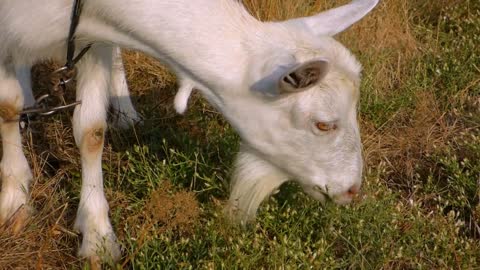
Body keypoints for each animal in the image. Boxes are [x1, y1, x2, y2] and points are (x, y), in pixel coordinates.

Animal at [0, 0, 378, 262]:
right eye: (324, 123)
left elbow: (91, 130)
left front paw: (97, 237)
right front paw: (16, 204)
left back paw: (125, 112)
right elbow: (7, 107)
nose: (351, 190)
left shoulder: (92, 39)